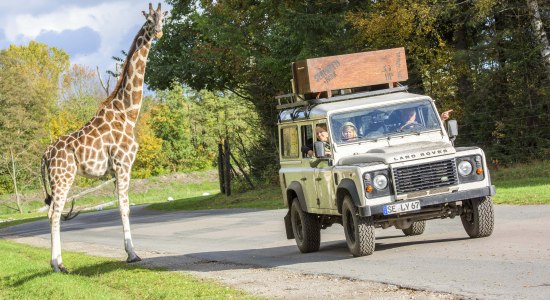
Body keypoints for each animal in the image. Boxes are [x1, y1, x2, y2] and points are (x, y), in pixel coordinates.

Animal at [41, 2, 167, 274]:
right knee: (55, 212)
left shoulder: (117, 168)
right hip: (63, 177)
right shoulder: (123, 163)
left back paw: (58, 263)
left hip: (58, 180)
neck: (128, 112)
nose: (158, 32)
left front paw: (130, 252)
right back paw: (58, 264)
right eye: (149, 19)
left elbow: (121, 205)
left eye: (163, 18)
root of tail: (45, 155)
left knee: (51, 212)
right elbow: (124, 206)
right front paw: (132, 254)